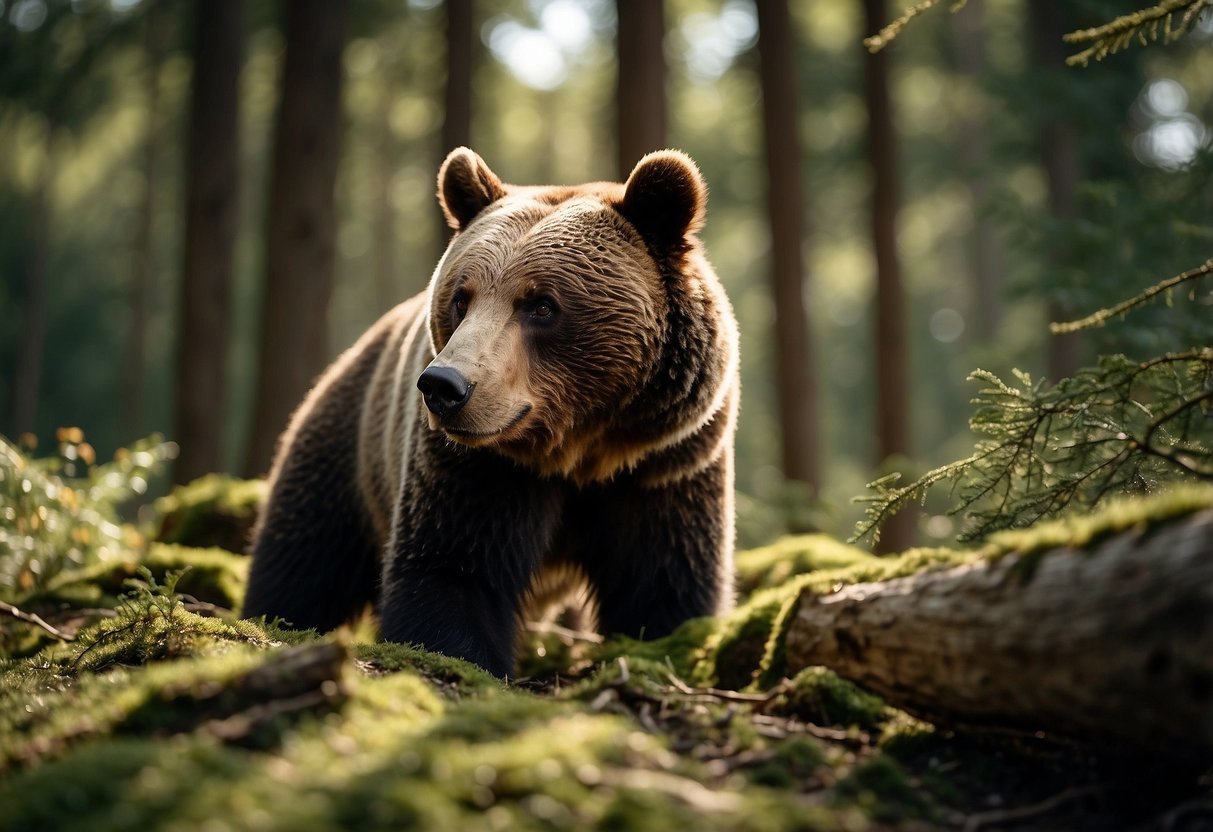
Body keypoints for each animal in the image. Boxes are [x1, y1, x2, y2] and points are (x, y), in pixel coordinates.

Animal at [241, 146, 737, 674]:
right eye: (461, 298)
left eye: (542, 304)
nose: (444, 386)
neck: (580, 448)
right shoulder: (476, 467)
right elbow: (453, 569)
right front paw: (462, 654)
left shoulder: (664, 464)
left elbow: (664, 585)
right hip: (348, 452)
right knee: (303, 557)